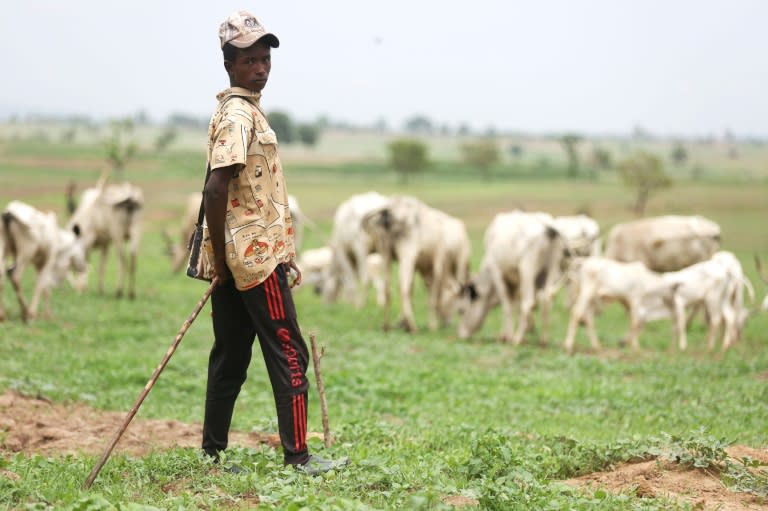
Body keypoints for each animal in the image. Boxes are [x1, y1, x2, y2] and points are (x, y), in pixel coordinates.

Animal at [364, 195, 472, 332]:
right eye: (457, 305)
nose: (447, 323)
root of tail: (390, 208)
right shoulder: (440, 261)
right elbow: (432, 293)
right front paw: (432, 325)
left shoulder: (418, 266)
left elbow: (416, 288)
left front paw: (402, 322)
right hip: (407, 251)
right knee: (403, 286)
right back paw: (412, 327)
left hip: (385, 252)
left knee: (387, 287)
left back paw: (387, 325)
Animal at [456, 210, 568, 346]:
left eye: (461, 311)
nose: (461, 334)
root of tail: (548, 227)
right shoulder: (516, 282)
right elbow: (515, 304)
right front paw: (506, 334)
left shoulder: (497, 272)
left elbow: (507, 305)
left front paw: (508, 336)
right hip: (552, 268)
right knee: (547, 299)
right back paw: (543, 340)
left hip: (527, 268)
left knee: (528, 302)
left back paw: (517, 338)